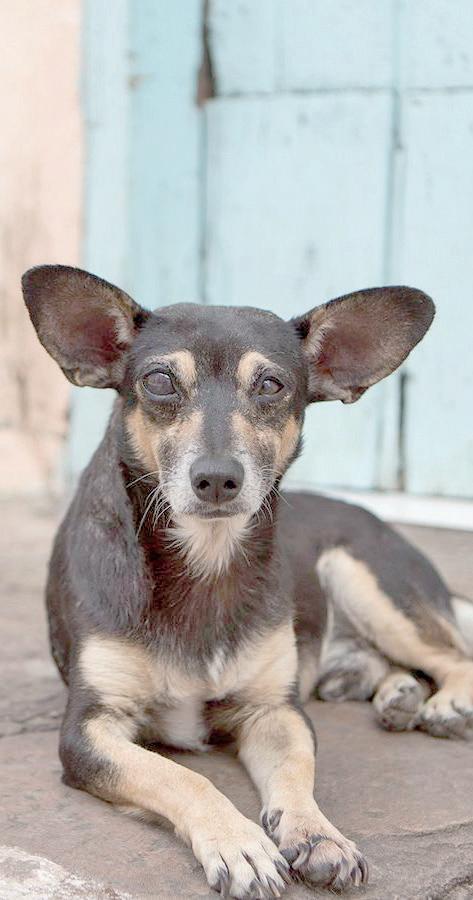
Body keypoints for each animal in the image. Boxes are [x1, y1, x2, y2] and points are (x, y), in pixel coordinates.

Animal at [22, 265, 473, 899]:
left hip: (369, 581)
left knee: (453, 655)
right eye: (159, 382)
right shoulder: (90, 730)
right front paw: (239, 843)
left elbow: (297, 772)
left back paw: (443, 701)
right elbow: (180, 776)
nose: (216, 478)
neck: (208, 562)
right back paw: (397, 695)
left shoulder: (274, 712)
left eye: (272, 385)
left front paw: (318, 833)